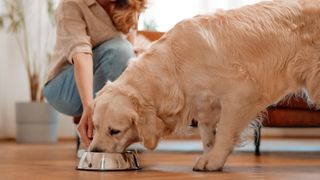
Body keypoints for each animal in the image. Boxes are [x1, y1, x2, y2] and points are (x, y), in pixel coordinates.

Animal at [89, 0, 320, 171]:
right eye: (95, 127)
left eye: (115, 131)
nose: (94, 151)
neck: (175, 65)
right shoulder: (204, 104)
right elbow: (207, 134)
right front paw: (209, 154)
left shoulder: (239, 93)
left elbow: (225, 131)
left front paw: (214, 160)